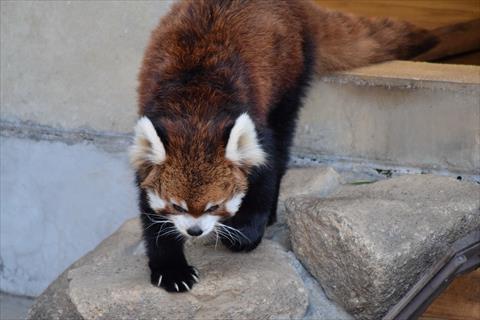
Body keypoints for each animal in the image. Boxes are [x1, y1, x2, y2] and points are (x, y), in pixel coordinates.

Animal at [129, 0, 436, 292]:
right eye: (176, 206)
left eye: (215, 205)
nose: (195, 231)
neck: (195, 109)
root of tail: (298, 6)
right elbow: (151, 216)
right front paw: (171, 269)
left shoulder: (255, 121)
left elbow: (267, 169)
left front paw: (245, 232)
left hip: (291, 72)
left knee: (284, 134)